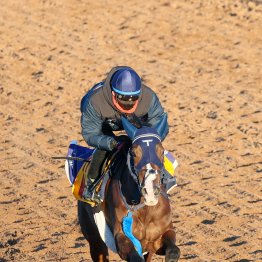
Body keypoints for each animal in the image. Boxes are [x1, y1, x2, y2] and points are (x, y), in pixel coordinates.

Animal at [78, 115, 180, 260]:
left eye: (161, 151)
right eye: (134, 153)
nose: (150, 191)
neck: (145, 209)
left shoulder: (160, 238)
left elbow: (173, 251)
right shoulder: (122, 238)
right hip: (94, 240)